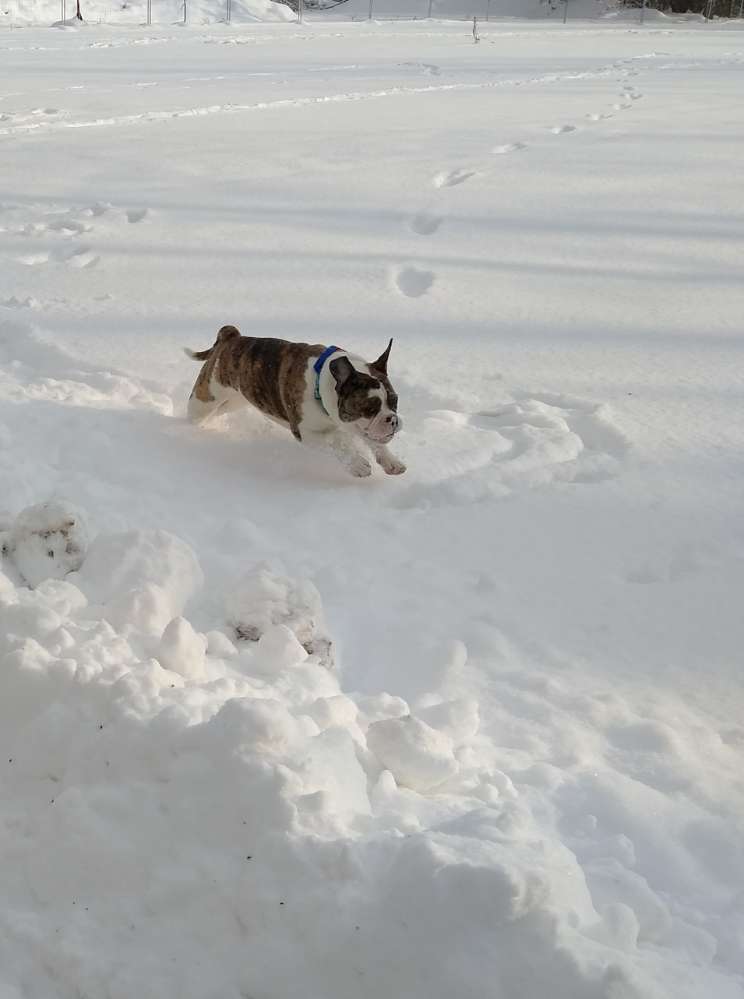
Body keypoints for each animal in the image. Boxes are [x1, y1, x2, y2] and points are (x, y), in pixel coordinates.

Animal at [186, 326, 406, 478]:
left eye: (395, 401)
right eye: (370, 408)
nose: (392, 419)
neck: (323, 383)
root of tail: (231, 337)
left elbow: (373, 441)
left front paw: (391, 461)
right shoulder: (305, 433)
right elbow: (334, 445)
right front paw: (357, 464)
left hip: (235, 401)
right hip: (205, 399)